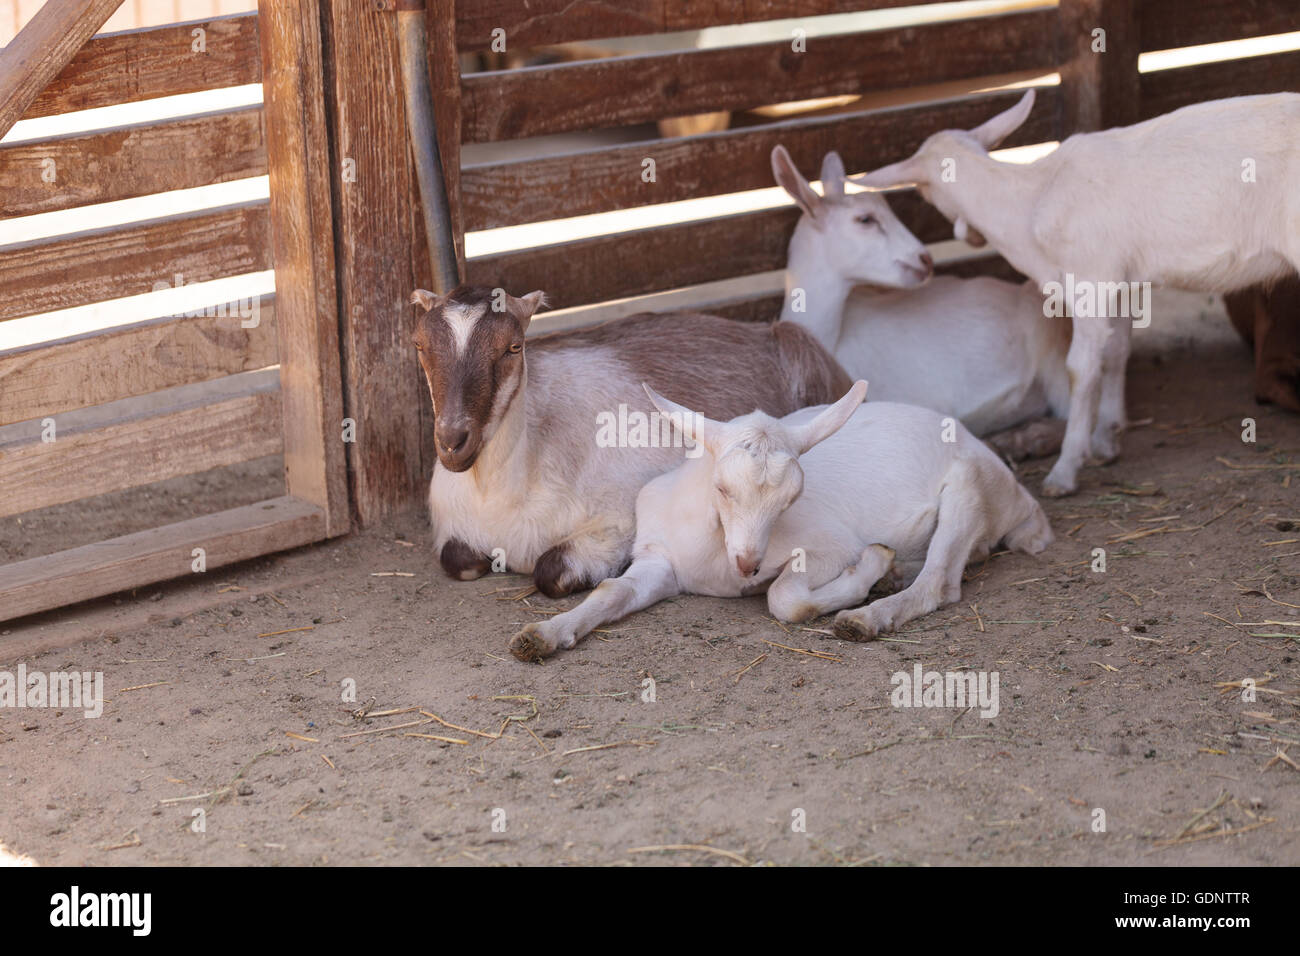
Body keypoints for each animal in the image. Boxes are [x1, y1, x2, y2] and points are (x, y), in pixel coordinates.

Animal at [408, 283, 852, 598]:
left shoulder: (617, 523)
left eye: (513, 347)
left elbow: (550, 570)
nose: (453, 441)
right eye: (419, 345)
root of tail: (763, 329)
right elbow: (456, 559)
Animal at [501, 377, 1050, 660]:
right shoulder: (661, 561)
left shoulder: (827, 546)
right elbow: (611, 590)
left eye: (791, 500)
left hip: (969, 491)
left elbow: (785, 599)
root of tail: (1022, 500)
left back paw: (867, 615)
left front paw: (869, 568)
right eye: (723, 488)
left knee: (940, 582)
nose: (748, 563)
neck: (715, 551)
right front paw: (540, 635)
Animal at [852, 90, 1300, 502]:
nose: (970, 236)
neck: (1028, 200)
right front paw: (1106, 439)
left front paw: (1066, 469)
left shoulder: (1089, 280)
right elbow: (1116, 353)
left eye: (923, 194)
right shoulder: (1120, 282)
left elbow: (1080, 369)